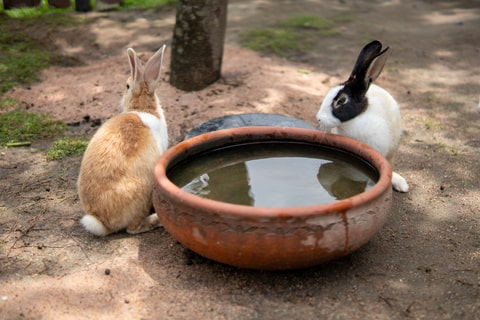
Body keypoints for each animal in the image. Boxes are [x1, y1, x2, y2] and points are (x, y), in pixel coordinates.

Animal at [77, 45, 169, 235]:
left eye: (127, 86)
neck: (144, 107)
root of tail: (101, 222)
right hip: (144, 188)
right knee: (132, 228)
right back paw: (155, 220)